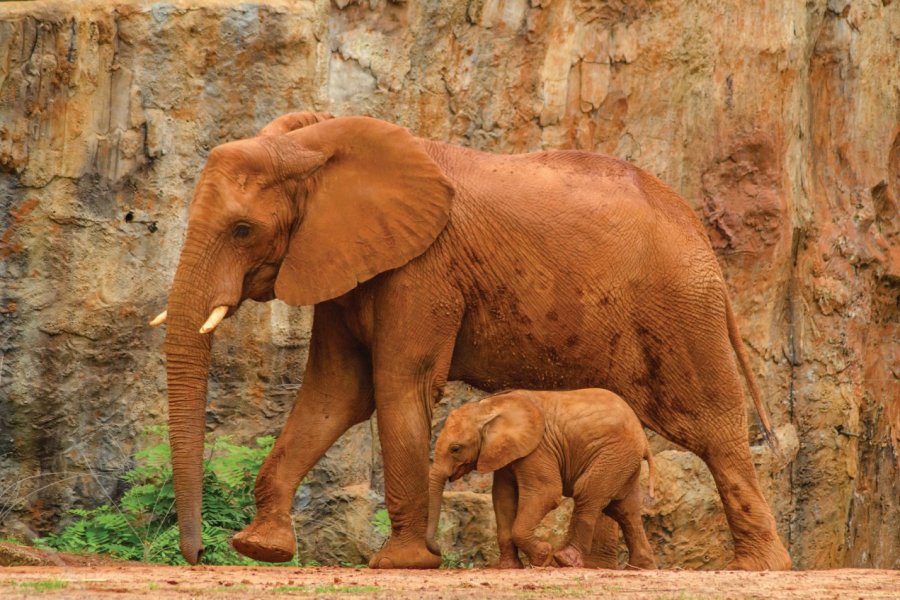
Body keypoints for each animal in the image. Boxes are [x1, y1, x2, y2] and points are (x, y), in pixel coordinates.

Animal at [426, 386, 656, 568]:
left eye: (455, 448)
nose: (439, 551)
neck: (488, 406)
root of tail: (644, 439)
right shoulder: (507, 452)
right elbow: (503, 497)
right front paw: (508, 568)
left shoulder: (538, 448)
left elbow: (546, 493)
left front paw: (542, 557)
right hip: (623, 460)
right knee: (624, 509)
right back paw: (641, 568)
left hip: (614, 454)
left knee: (588, 494)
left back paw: (565, 560)